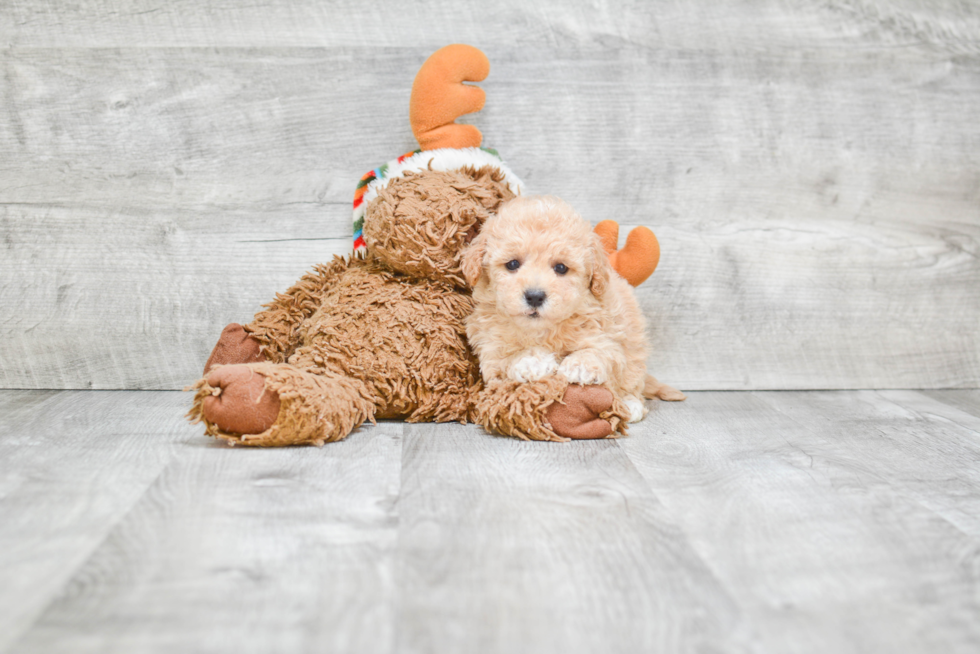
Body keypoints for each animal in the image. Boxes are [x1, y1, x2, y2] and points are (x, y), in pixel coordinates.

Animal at [462, 193, 680, 426]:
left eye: (561, 268)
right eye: (512, 264)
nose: (535, 296)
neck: (541, 330)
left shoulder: (607, 336)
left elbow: (600, 352)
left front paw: (580, 365)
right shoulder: (490, 350)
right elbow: (507, 359)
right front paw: (532, 361)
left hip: (635, 348)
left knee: (632, 381)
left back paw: (630, 405)